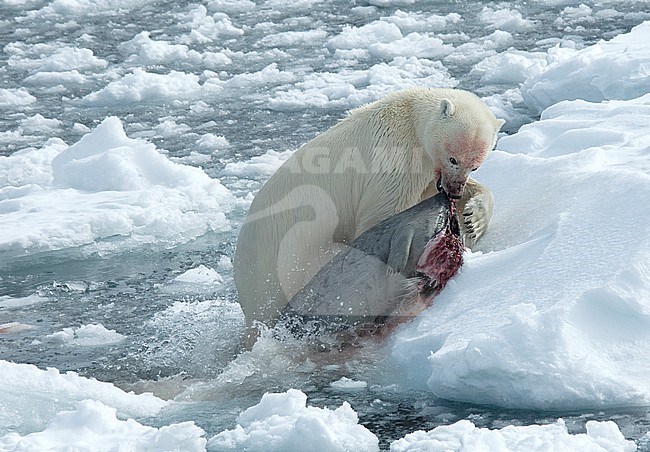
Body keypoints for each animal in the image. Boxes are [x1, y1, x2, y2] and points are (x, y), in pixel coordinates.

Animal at [232, 87, 502, 336]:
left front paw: (473, 220)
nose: (454, 190)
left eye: (475, 165)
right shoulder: (396, 158)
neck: (411, 119)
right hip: (293, 259)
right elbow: (383, 213)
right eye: (453, 158)